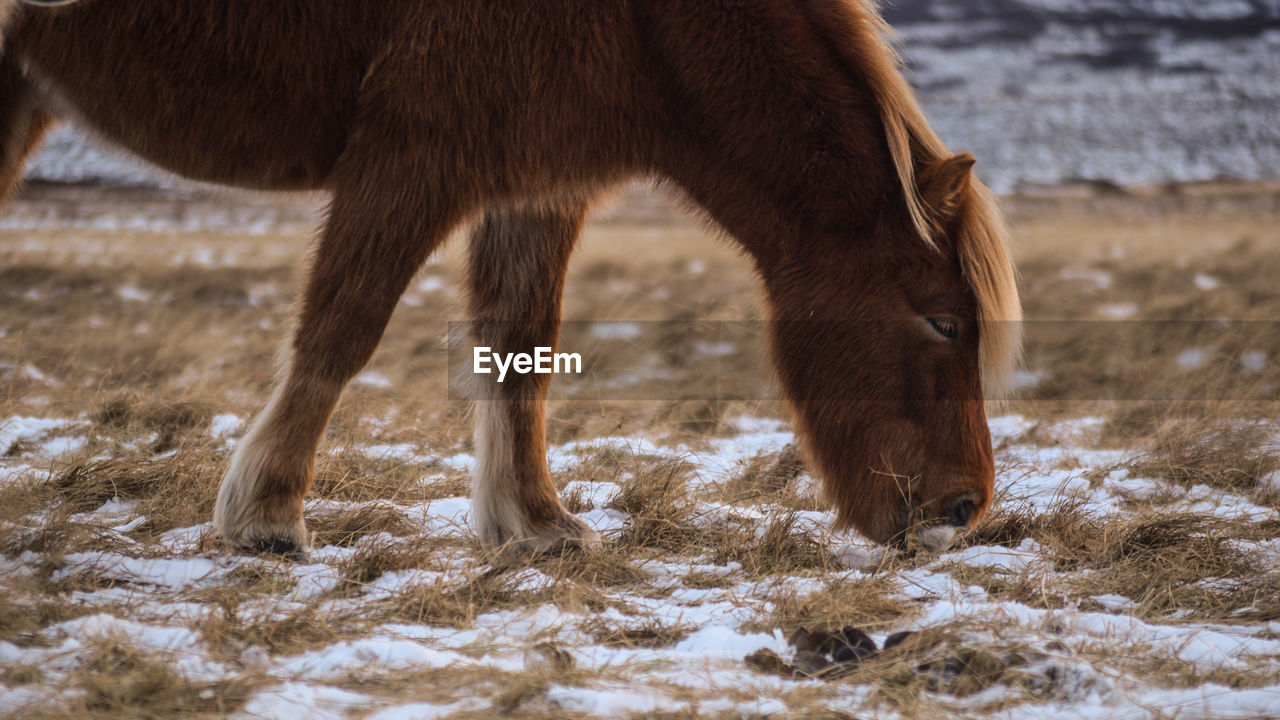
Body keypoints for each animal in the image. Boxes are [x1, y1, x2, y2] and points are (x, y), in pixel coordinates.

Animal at [0, 0, 1018, 556]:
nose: (962, 508)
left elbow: (523, 349)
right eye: (943, 321)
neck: (644, 24)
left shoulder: (535, 186)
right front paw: (266, 514)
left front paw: (535, 524)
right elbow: (342, 328)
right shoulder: (414, 157)